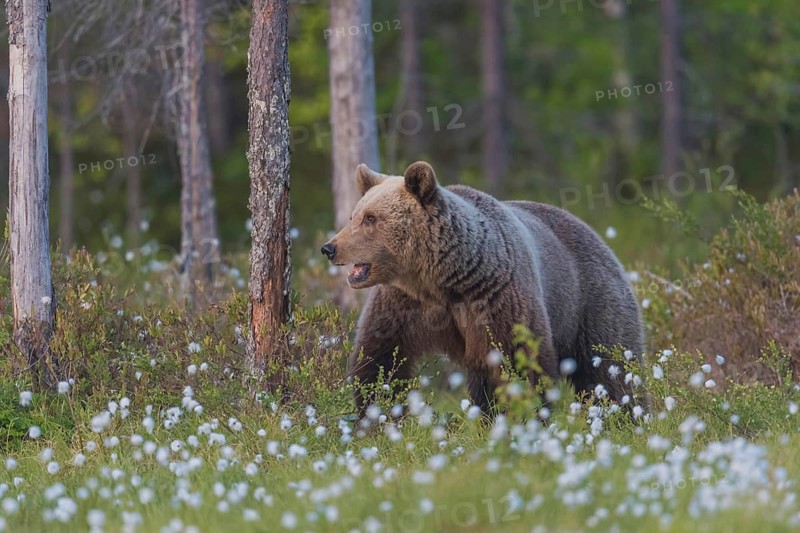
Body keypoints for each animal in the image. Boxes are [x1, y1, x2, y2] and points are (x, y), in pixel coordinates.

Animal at [321, 161, 646, 415]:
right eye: (354, 216)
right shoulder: (403, 302)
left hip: (590, 302)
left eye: (370, 218)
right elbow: (380, 357)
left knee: (610, 367)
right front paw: (376, 416)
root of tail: (595, 233)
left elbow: (521, 359)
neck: (442, 280)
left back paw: (626, 416)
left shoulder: (496, 296)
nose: (329, 248)